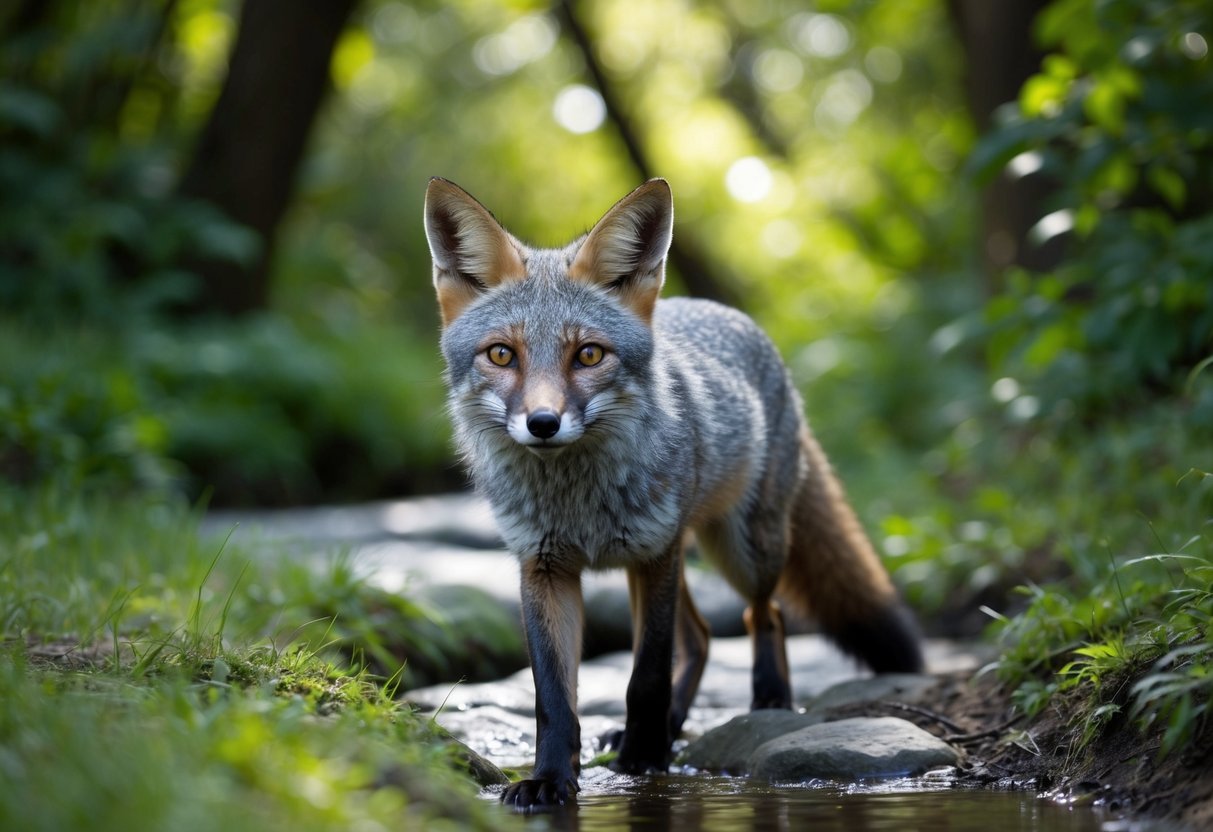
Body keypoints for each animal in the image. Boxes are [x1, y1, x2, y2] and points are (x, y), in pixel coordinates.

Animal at [422, 177, 924, 810]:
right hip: (676, 556)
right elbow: (553, 699)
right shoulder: (543, 567)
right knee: (704, 637)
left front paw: (643, 761)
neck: (578, 503)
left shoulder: (653, 556)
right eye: (501, 355)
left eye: (588, 354)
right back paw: (680, 720)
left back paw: (769, 700)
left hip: (742, 551)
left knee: (763, 614)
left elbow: (646, 676)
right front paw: (551, 779)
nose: (542, 423)